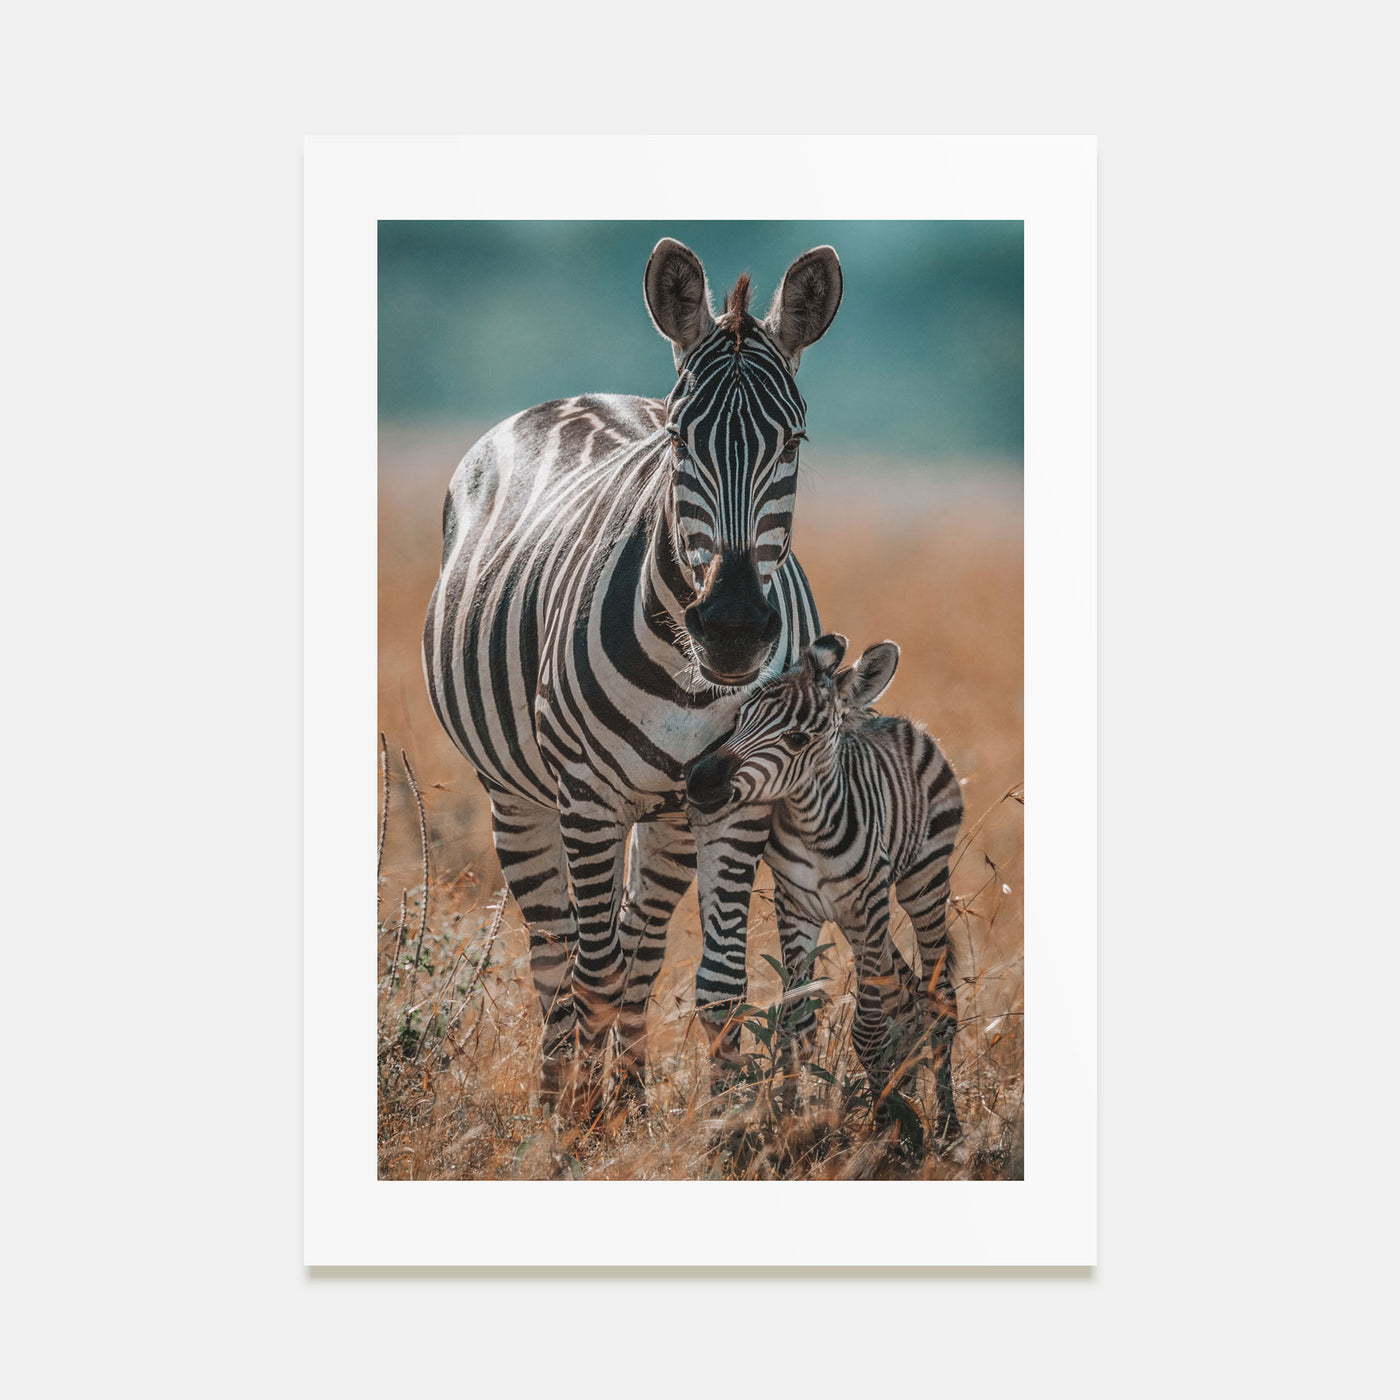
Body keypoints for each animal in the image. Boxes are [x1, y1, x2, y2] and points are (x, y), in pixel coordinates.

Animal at [422, 237, 844, 1108]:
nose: (734, 627)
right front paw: (585, 1123)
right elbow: (593, 974)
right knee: (560, 955)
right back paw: (560, 1099)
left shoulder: (737, 799)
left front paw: (725, 1121)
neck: (694, 681)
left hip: (671, 813)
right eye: (681, 441)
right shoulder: (585, 793)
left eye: (793, 443)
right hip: (519, 794)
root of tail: (584, 395)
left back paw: (631, 1096)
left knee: (640, 945)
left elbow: (719, 984)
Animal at [685, 634, 964, 1138]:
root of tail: (900, 721)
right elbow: (795, 1024)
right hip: (858, 917)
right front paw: (790, 1122)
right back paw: (907, 1096)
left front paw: (880, 1132)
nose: (699, 781)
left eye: (797, 739)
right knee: (908, 995)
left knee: (939, 1000)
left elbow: (869, 1030)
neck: (811, 824)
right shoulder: (795, 906)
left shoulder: (870, 904)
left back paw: (947, 1126)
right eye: (739, 717)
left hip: (923, 882)